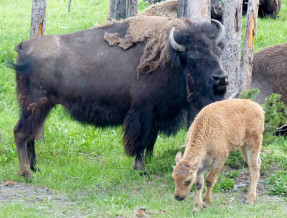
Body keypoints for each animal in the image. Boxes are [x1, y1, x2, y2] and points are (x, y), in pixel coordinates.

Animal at [11, 16, 228, 178]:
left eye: (217, 51)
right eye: (192, 57)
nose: (221, 78)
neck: (171, 58)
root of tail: (24, 46)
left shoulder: (156, 113)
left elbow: (151, 141)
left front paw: (149, 162)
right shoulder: (142, 112)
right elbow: (140, 141)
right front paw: (140, 168)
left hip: (39, 107)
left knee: (30, 135)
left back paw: (35, 168)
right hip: (36, 105)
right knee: (21, 133)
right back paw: (27, 173)